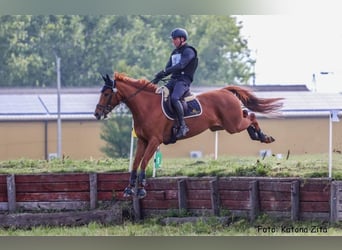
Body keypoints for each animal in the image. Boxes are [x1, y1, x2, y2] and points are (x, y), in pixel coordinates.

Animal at [93, 72, 284, 199]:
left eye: (107, 93)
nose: (97, 114)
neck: (146, 107)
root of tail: (224, 90)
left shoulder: (154, 141)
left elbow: (144, 162)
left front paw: (140, 189)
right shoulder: (142, 141)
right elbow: (135, 163)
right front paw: (129, 188)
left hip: (233, 125)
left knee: (251, 116)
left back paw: (263, 136)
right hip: (226, 124)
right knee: (247, 114)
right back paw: (256, 135)